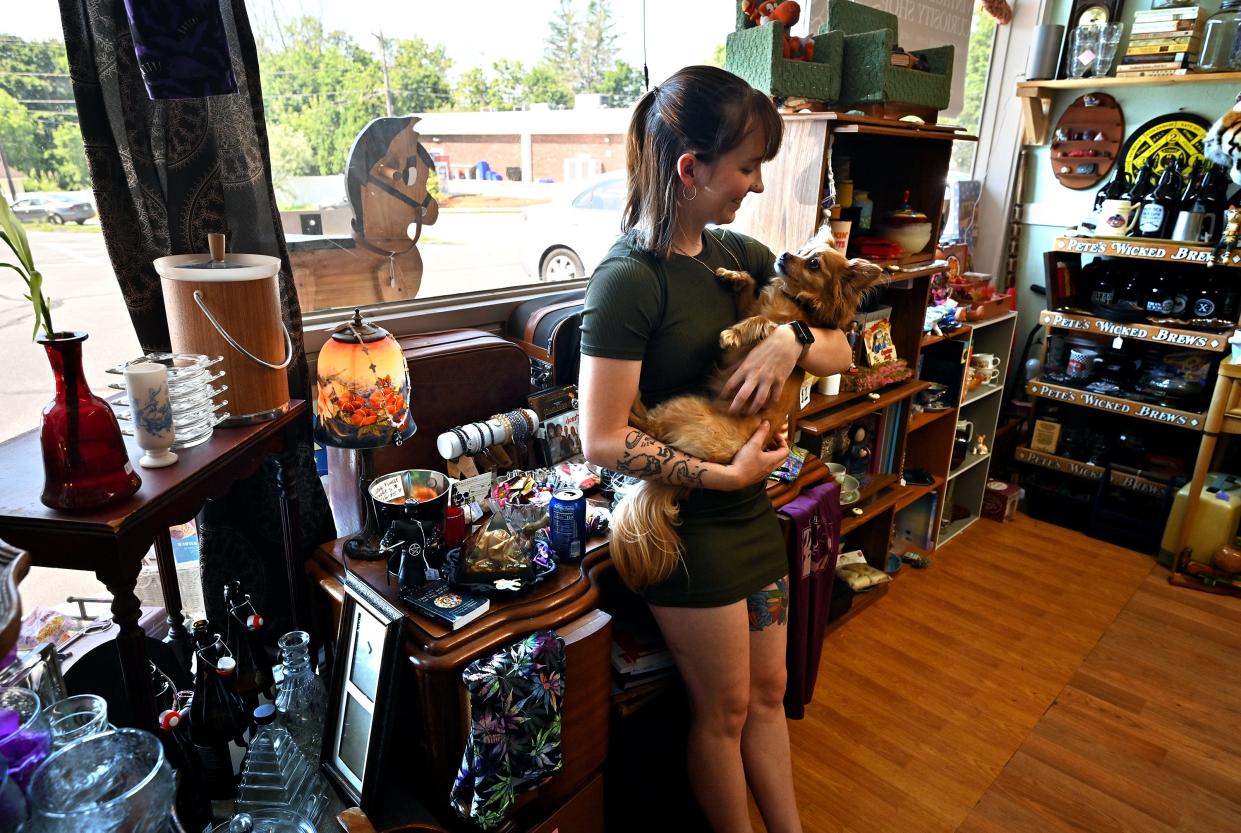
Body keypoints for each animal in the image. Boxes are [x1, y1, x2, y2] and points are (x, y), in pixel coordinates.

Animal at [608, 228, 883, 593]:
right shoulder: (750, 304)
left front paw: (732, 334)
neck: (794, 299)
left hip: (683, 408)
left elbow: (762, 321)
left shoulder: (780, 325)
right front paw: (732, 275)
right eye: (801, 250)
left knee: (648, 424)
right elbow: (750, 291)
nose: (783, 255)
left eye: (813, 263)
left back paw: (634, 401)